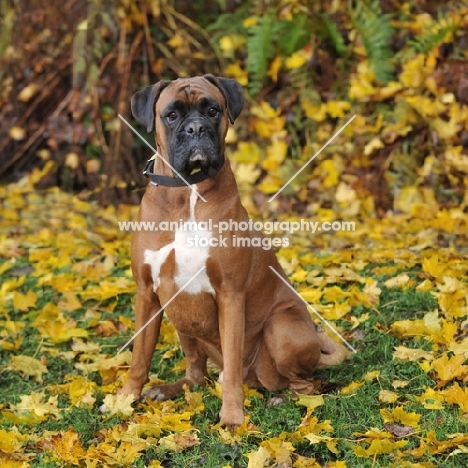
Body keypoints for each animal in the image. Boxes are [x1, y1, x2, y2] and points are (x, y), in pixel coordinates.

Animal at [119, 75, 350, 426]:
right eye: (171, 115)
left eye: (212, 110)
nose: (196, 128)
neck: (187, 193)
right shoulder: (147, 294)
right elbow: (140, 357)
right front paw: (123, 399)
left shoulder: (230, 294)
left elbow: (230, 368)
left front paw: (231, 417)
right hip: (180, 320)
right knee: (197, 374)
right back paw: (172, 388)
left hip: (281, 329)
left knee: (303, 384)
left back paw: (283, 398)